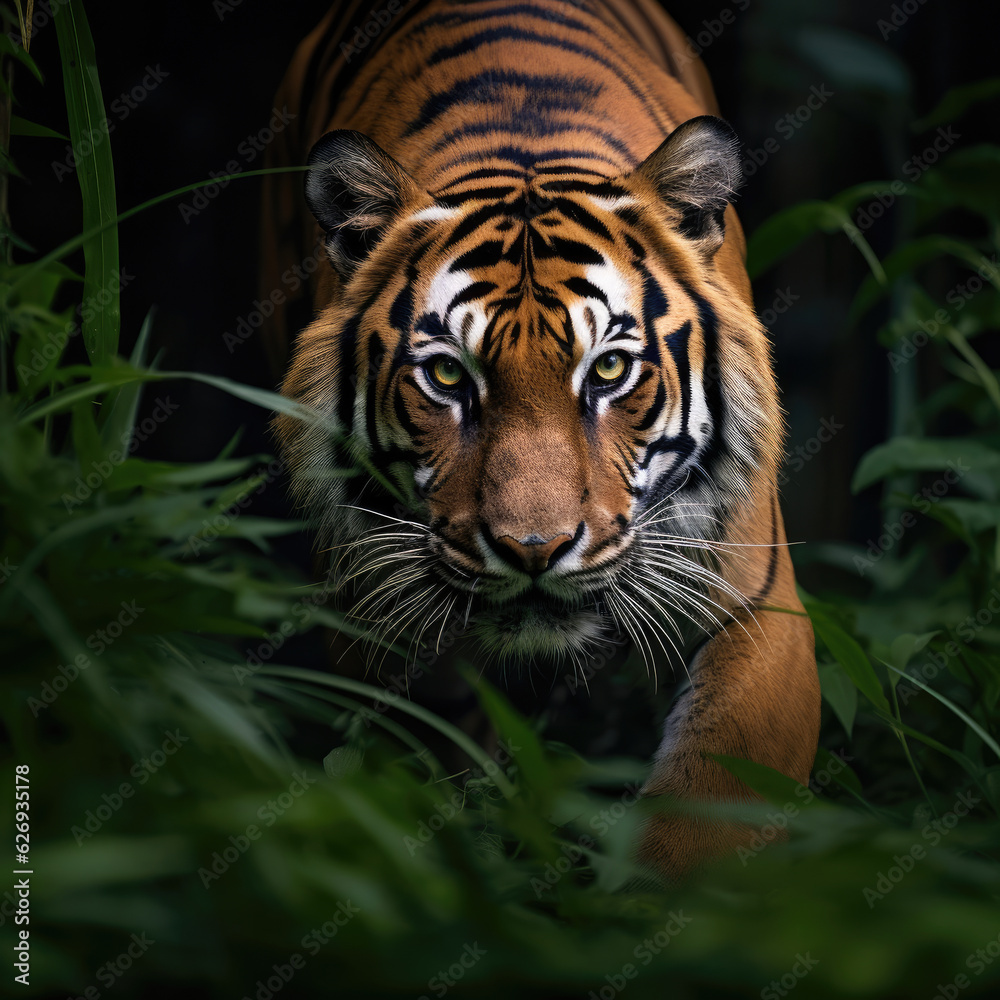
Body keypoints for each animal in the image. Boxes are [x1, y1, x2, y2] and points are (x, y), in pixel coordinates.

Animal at [259, 0, 821, 879]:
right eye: (448, 377)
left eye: (610, 369)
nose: (533, 549)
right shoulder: (375, 622)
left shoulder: (759, 612)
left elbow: (705, 818)